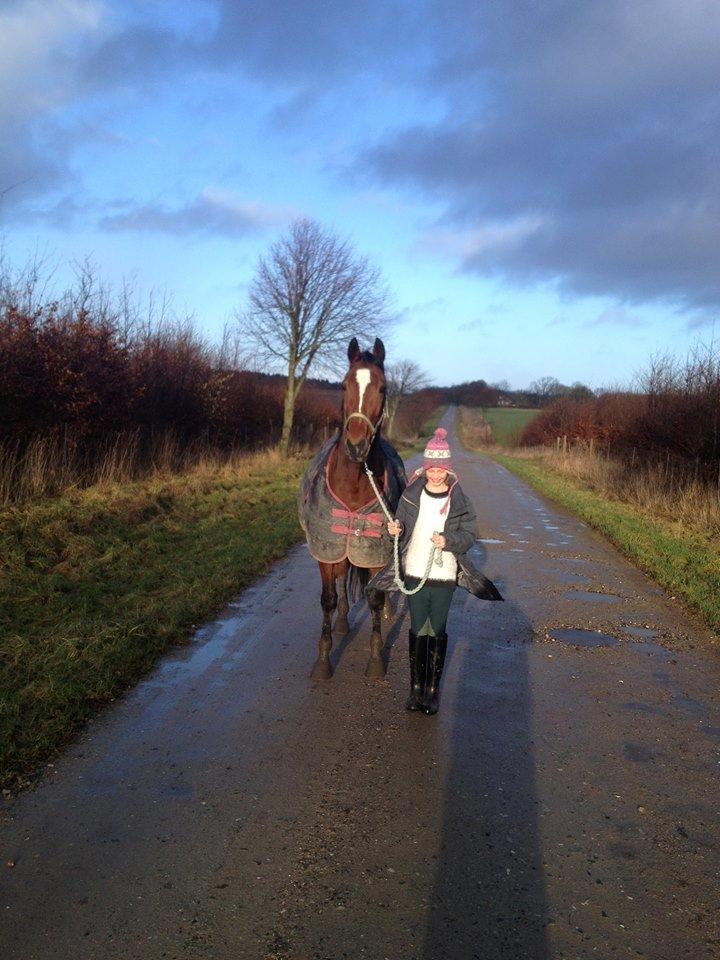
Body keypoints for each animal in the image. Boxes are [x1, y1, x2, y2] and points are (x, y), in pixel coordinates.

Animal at [298, 338, 408, 684]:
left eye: (383, 387)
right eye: (344, 385)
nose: (356, 445)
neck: (356, 482)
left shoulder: (373, 549)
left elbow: (373, 597)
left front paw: (375, 658)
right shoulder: (327, 547)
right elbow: (328, 599)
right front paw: (323, 660)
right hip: (341, 548)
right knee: (343, 576)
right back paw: (344, 621)